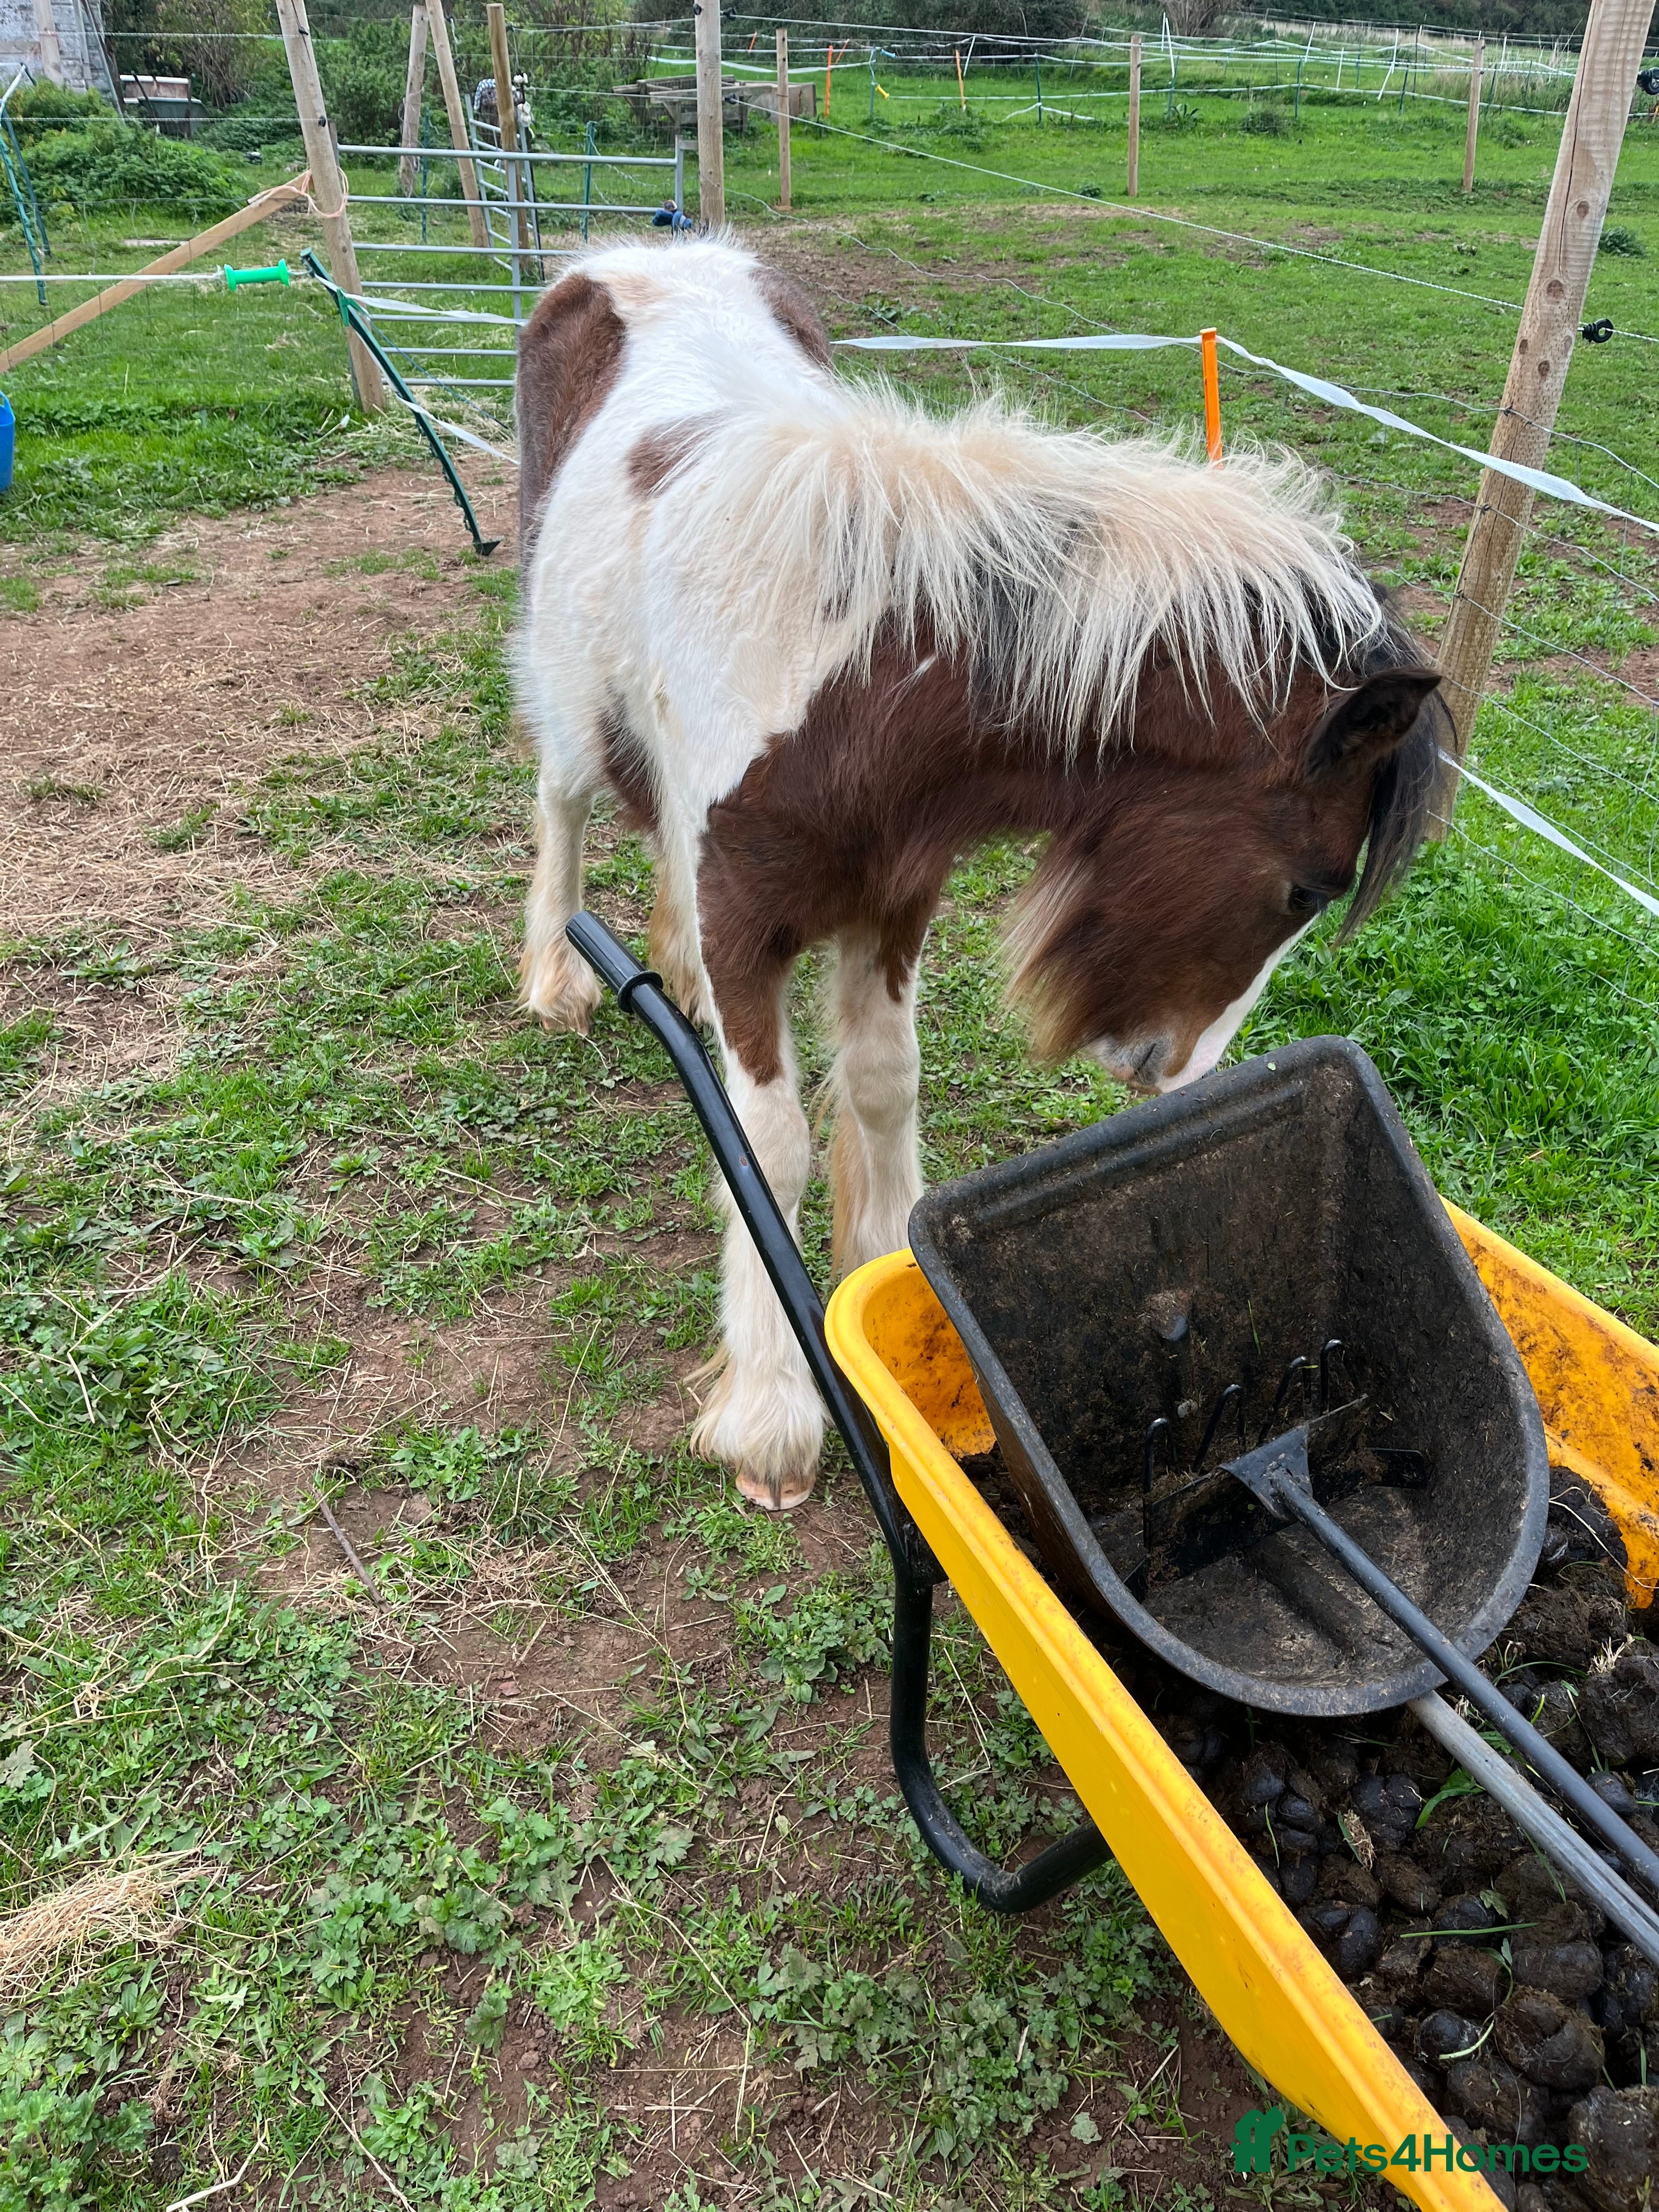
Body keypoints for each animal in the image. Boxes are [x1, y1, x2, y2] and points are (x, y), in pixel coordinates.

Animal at [513, 238, 1445, 1512]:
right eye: (1304, 888)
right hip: (567, 695)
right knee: (561, 805)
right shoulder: (751, 921)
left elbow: (883, 1083)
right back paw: (560, 979)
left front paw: (892, 1301)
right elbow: (768, 1147)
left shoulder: (892, 903)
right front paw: (771, 1417)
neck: (849, 680)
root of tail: (636, 254)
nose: (1176, 1071)